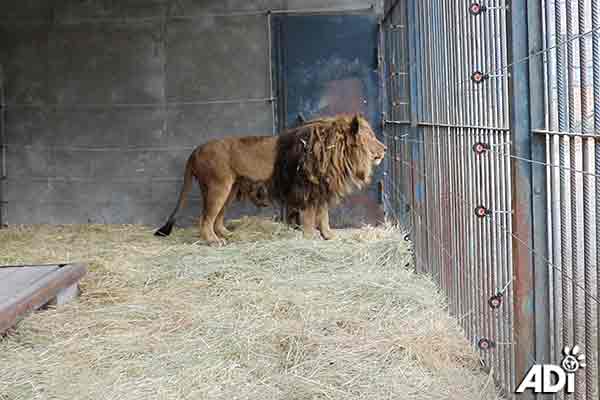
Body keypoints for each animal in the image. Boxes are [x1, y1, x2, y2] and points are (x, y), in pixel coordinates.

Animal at [155, 114, 386, 245]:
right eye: (371, 137)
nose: (385, 148)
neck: (335, 151)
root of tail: (196, 150)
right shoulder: (306, 190)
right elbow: (310, 218)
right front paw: (310, 238)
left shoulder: (320, 190)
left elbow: (324, 217)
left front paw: (328, 236)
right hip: (217, 187)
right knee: (205, 220)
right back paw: (213, 241)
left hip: (229, 189)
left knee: (217, 218)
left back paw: (226, 235)